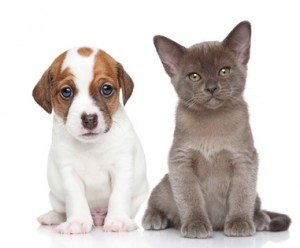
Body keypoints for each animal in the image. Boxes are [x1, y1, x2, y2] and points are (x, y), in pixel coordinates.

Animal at [32, 46, 149, 234]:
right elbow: (75, 198)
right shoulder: (69, 172)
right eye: (66, 92)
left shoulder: (122, 167)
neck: (91, 146)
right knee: (61, 210)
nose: (89, 119)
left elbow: (118, 195)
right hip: (55, 197)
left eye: (106, 89)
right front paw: (78, 221)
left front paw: (118, 220)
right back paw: (53, 216)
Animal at [143, 21, 290, 238]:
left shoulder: (244, 159)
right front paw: (196, 225)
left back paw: (259, 219)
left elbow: (241, 195)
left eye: (224, 71)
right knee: (156, 202)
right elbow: (191, 198)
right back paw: (154, 218)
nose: (211, 88)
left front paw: (239, 224)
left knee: (255, 203)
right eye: (194, 76)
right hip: (166, 185)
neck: (212, 122)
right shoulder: (180, 160)